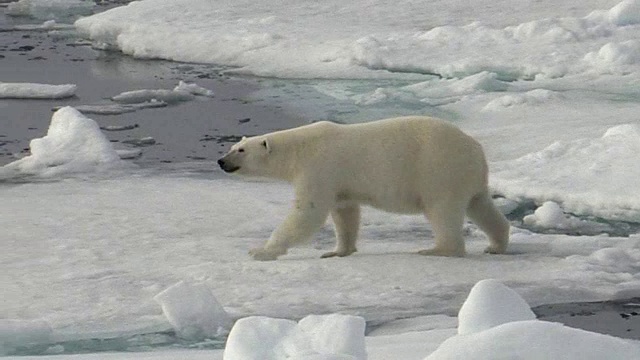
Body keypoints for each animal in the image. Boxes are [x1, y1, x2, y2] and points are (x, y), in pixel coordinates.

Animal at [219, 116, 510, 260]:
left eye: (241, 150)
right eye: (233, 147)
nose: (221, 161)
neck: (299, 150)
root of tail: (475, 149)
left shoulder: (319, 168)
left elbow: (307, 212)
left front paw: (260, 251)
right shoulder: (339, 182)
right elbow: (345, 212)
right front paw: (337, 251)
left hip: (438, 170)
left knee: (442, 211)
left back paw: (436, 249)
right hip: (465, 177)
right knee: (480, 206)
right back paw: (496, 244)